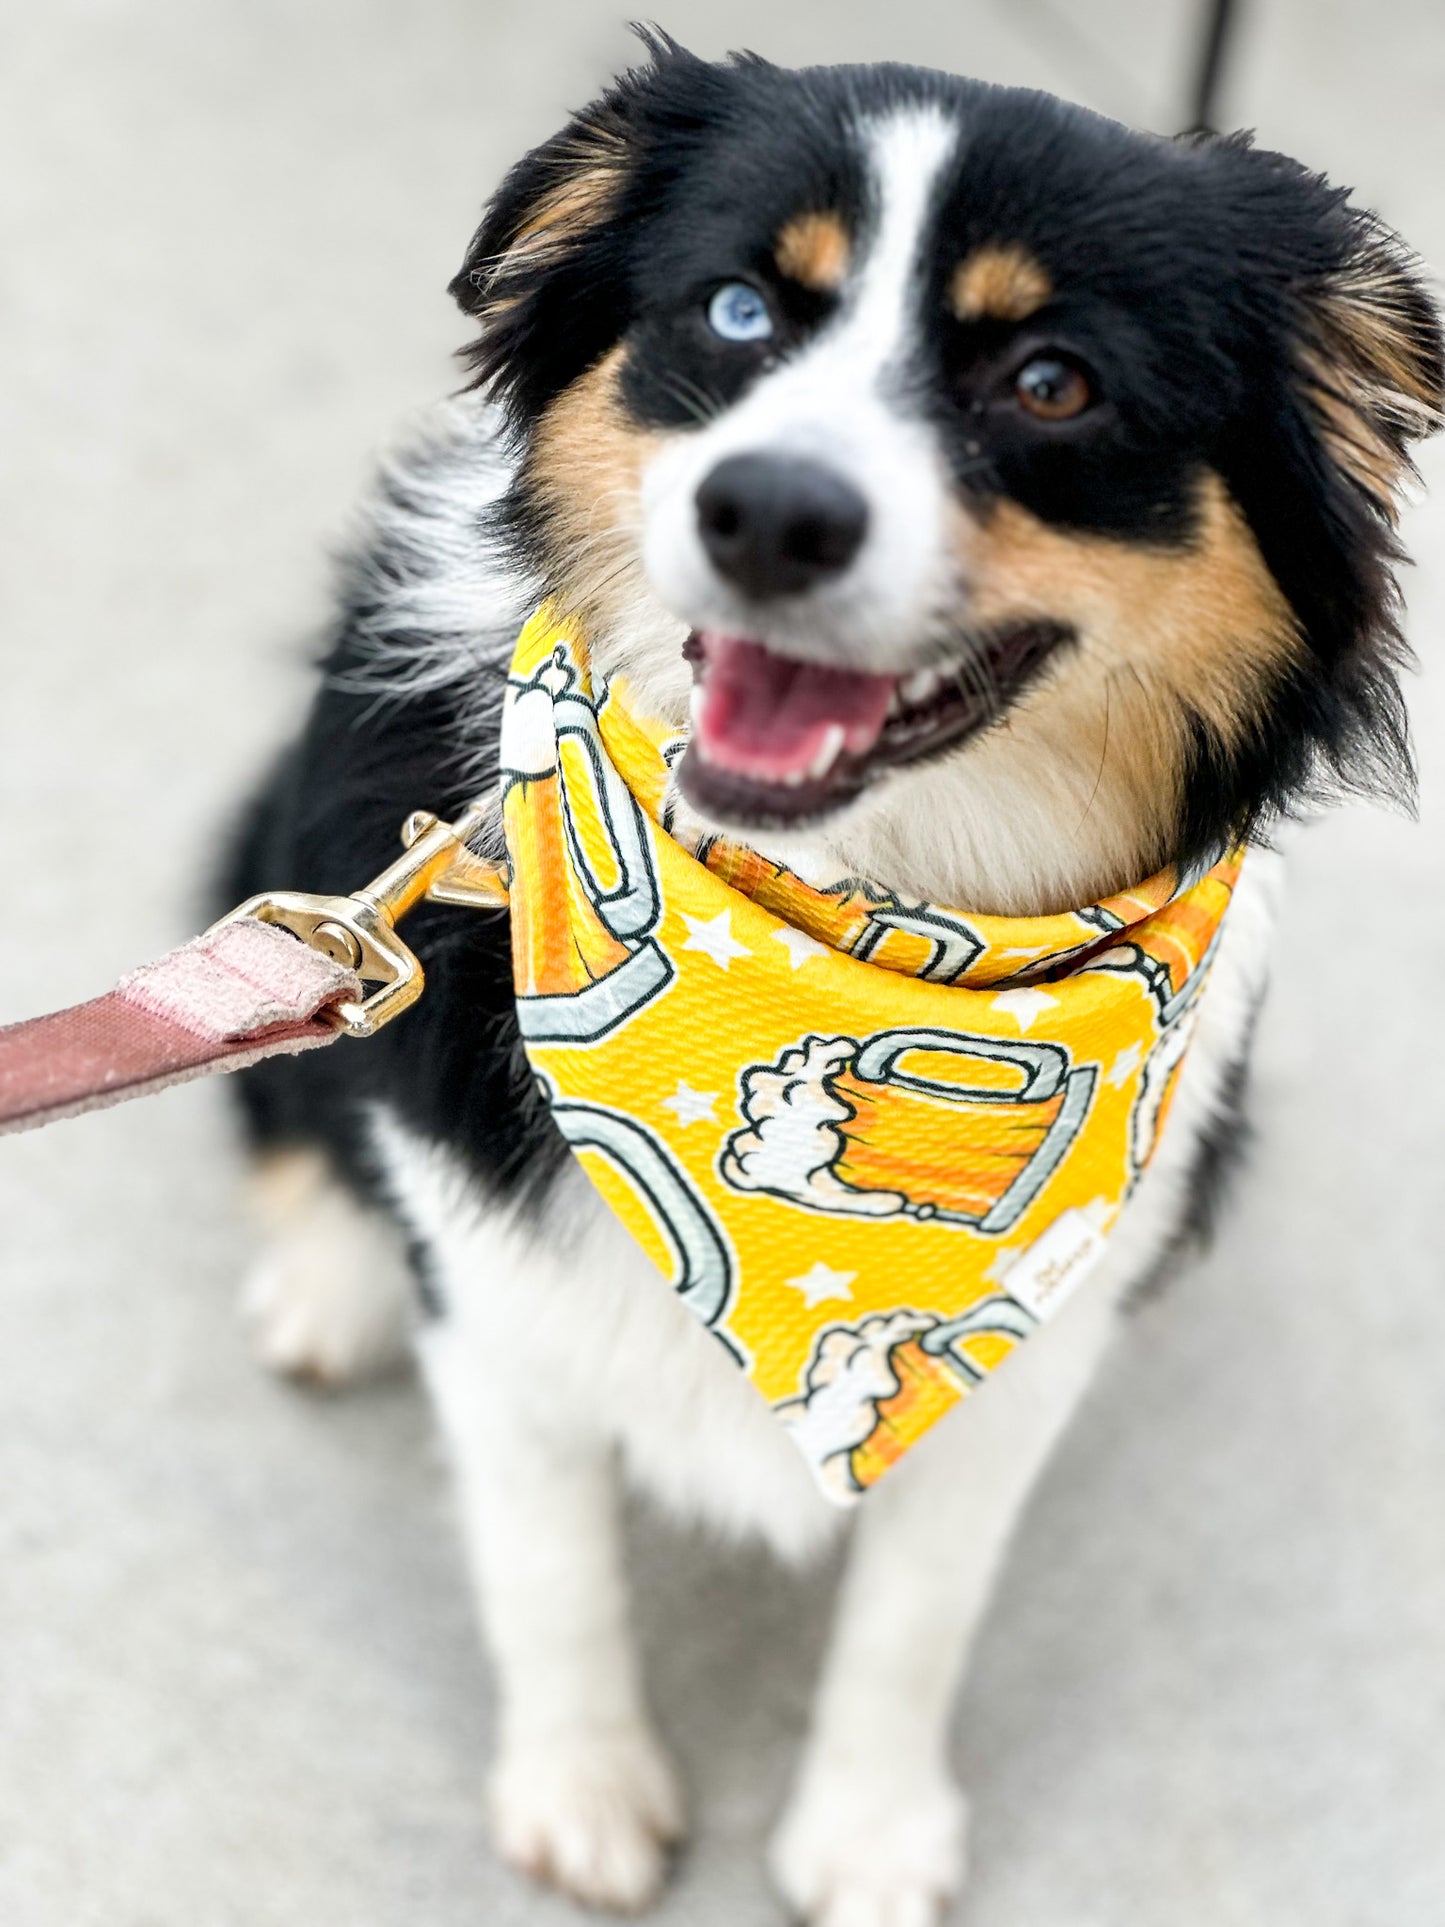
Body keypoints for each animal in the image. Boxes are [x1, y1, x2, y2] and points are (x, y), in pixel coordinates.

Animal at [220, 33, 1441, 1927]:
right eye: (736, 310)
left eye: (1052, 380)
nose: (769, 508)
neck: (861, 921)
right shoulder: (502, 1319)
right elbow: (549, 1574)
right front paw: (585, 1793)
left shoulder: (1023, 1357)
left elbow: (916, 1616)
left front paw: (867, 1831)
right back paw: (332, 1286)